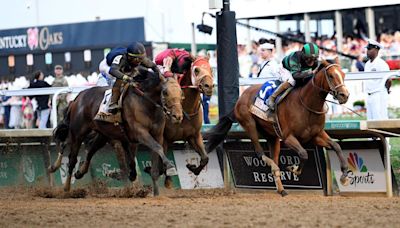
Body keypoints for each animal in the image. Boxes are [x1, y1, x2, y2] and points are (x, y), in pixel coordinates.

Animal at [48, 66, 184, 196]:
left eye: (181, 92)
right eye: (165, 92)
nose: (178, 116)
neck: (146, 103)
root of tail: (77, 98)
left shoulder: (157, 135)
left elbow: (154, 163)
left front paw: (156, 193)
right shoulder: (140, 132)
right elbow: (157, 147)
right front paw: (170, 166)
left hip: (102, 135)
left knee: (90, 151)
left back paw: (80, 172)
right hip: (78, 133)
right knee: (71, 158)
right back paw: (65, 185)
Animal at [206, 59, 350, 197]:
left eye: (343, 75)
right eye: (331, 76)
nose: (345, 95)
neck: (307, 104)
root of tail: (240, 98)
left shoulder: (316, 135)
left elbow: (336, 146)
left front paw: (344, 175)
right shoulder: (288, 138)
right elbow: (303, 154)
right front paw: (294, 169)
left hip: (272, 137)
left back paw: (281, 189)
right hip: (249, 124)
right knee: (260, 153)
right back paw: (274, 167)